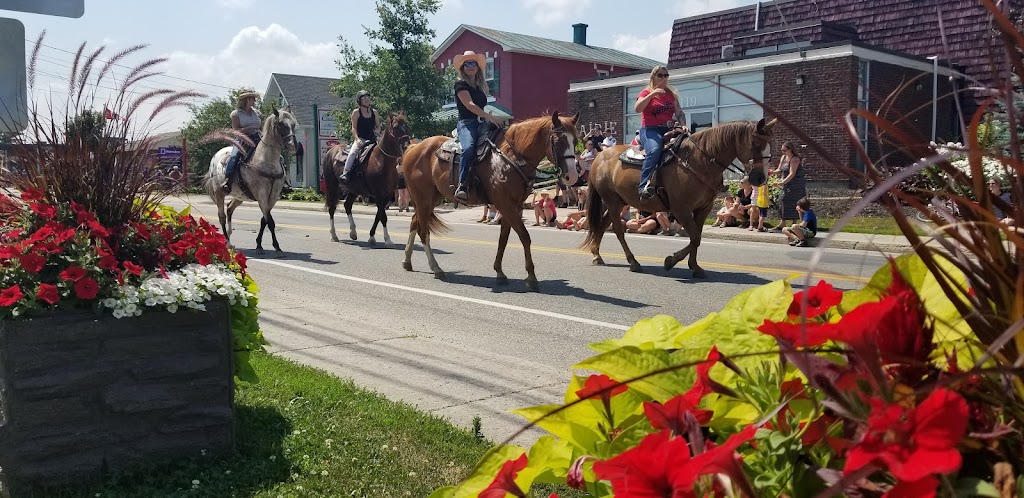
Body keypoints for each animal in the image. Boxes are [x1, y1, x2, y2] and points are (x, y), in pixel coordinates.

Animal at [323, 110, 411, 246]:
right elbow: (383, 217)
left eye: (407, 126)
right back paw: (334, 235)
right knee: (332, 208)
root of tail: (331, 150)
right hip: (332, 186)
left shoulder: (386, 195)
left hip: (354, 189)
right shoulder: (378, 195)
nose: (407, 145)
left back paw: (353, 232)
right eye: (396, 127)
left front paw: (372, 237)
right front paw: (388, 239)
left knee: (347, 205)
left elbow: (379, 215)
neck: (381, 160)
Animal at [399, 110, 581, 288]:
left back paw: (407, 261)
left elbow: (503, 239)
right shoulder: (506, 205)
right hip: (423, 198)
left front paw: (499, 272)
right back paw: (436, 268)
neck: (511, 157)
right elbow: (524, 236)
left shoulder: (514, 206)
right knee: (423, 231)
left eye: (575, 140)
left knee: (414, 223)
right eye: (558, 141)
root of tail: (414, 148)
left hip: (431, 198)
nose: (572, 176)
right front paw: (531, 277)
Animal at [581, 118, 770, 278]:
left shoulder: (703, 209)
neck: (698, 161)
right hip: (611, 200)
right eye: (755, 144)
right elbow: (695, 237)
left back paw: (597, 256)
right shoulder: (681, 209)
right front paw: (671, 261)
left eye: (768, 145)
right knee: (618, 230)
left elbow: (696, 238)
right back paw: (632, 262)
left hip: (618, 202)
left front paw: (695, 267)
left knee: (602, 225)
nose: (760, 178)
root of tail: (599, 157)